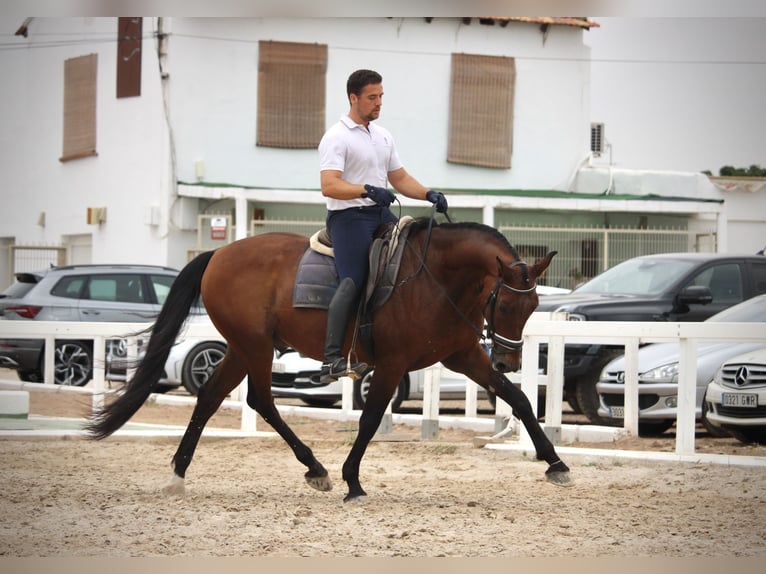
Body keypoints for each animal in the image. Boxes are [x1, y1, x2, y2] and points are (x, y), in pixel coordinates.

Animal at [86, 216, 572, 501]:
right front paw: (352, 480)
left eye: (532, 307)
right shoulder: (392, 364)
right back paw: (315, 468)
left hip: (243, 348)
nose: (508, 359)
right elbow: (370, 419)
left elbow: (517, 399)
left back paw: (179, 474)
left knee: (209, 398)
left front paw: (555, 462)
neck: (436, 278)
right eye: (503, 304)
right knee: (261, 400)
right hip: (255, 347)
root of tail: (220, 253)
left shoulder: (464, 356)